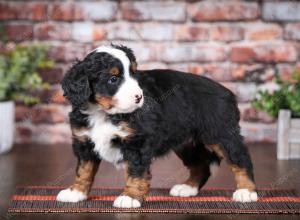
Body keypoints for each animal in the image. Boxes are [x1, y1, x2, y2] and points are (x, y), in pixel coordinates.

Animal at [56, 43, 258, 207]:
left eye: (134, 75)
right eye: (113, 79)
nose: (139, 97)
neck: (103, 113)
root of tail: (227, 92)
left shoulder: (137, 143)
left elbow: (135, 172)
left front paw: (129, 197)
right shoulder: (84, 142)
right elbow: (84, 170)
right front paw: (76, 192)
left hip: (221, 133)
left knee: (240, 159)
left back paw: (246, 191)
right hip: (186, 143)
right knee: (201, 164)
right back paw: (188, 188)